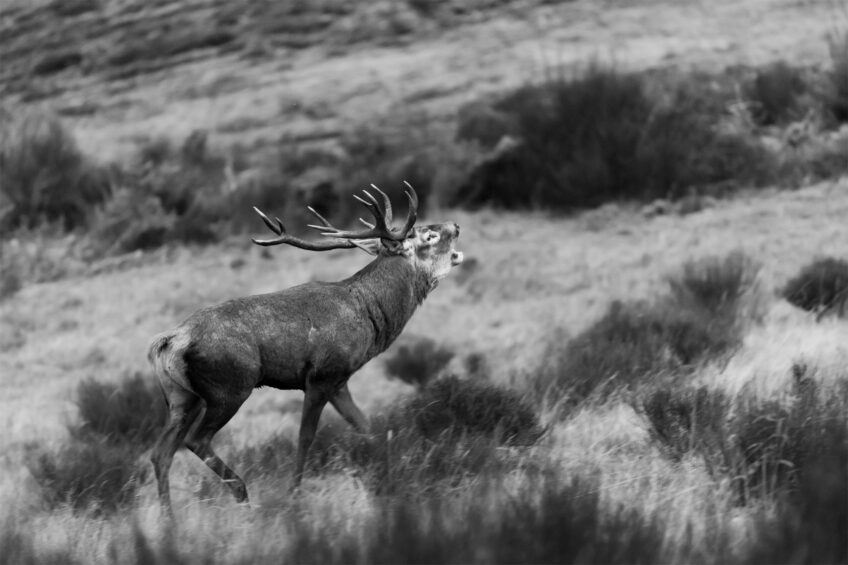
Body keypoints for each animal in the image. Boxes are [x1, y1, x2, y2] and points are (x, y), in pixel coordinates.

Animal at [147, 183, 463, 514]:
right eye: (429, 235)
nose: (455, 225)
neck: (367, 314)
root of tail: (169, 342)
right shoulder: (321, 375)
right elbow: (305, 436)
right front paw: (294, 494)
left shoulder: (340, 381)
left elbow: (366, 426)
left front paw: (392, 473)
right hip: (229, 387)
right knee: (196, 440)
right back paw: (242, 493)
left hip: (182, 397)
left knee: (161, 452)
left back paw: (169, 518)